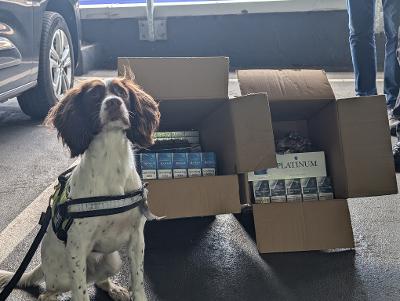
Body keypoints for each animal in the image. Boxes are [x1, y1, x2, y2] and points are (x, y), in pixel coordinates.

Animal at [0, 76, 159, 298]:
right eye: (94, 96)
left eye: (122, 93)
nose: (113, 102)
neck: (111, 162)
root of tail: (42, 266)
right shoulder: (77, 247)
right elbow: (81, 293)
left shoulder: (137, 239)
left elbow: (138, 283)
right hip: (62, 276)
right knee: (48, 292)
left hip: (113, 260)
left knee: (100, 281)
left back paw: (115, 289)